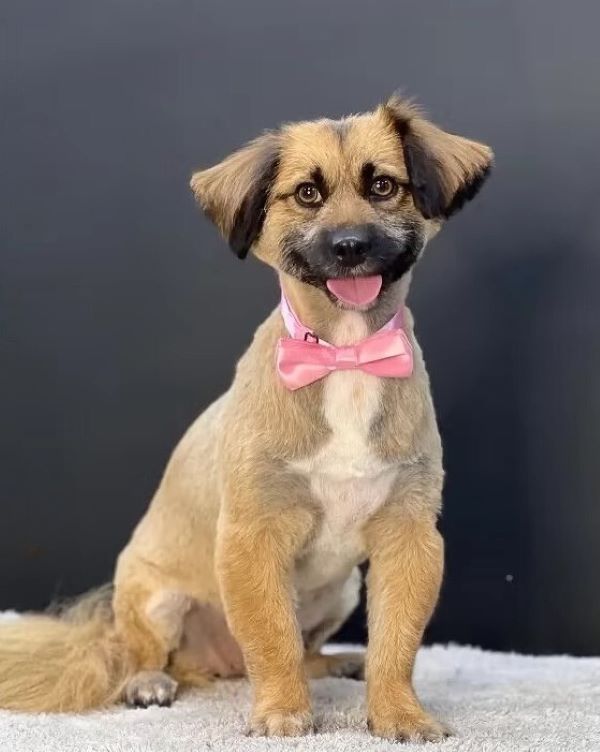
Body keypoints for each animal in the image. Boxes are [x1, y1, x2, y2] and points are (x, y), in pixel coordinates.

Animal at [0, 92, 492, 740]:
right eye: (306, 193)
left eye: (384, 186)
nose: (351, 245)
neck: (343, 354)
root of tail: (216, 665)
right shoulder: (254, 534)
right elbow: (271, 639)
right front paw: (282, 711)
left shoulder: (408, 534)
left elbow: (397, 642)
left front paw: (398, 712)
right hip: (154, 598)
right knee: (143, 652)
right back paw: (148, 682)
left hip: (342, 588)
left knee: (308, 648)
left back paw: (340, 663)